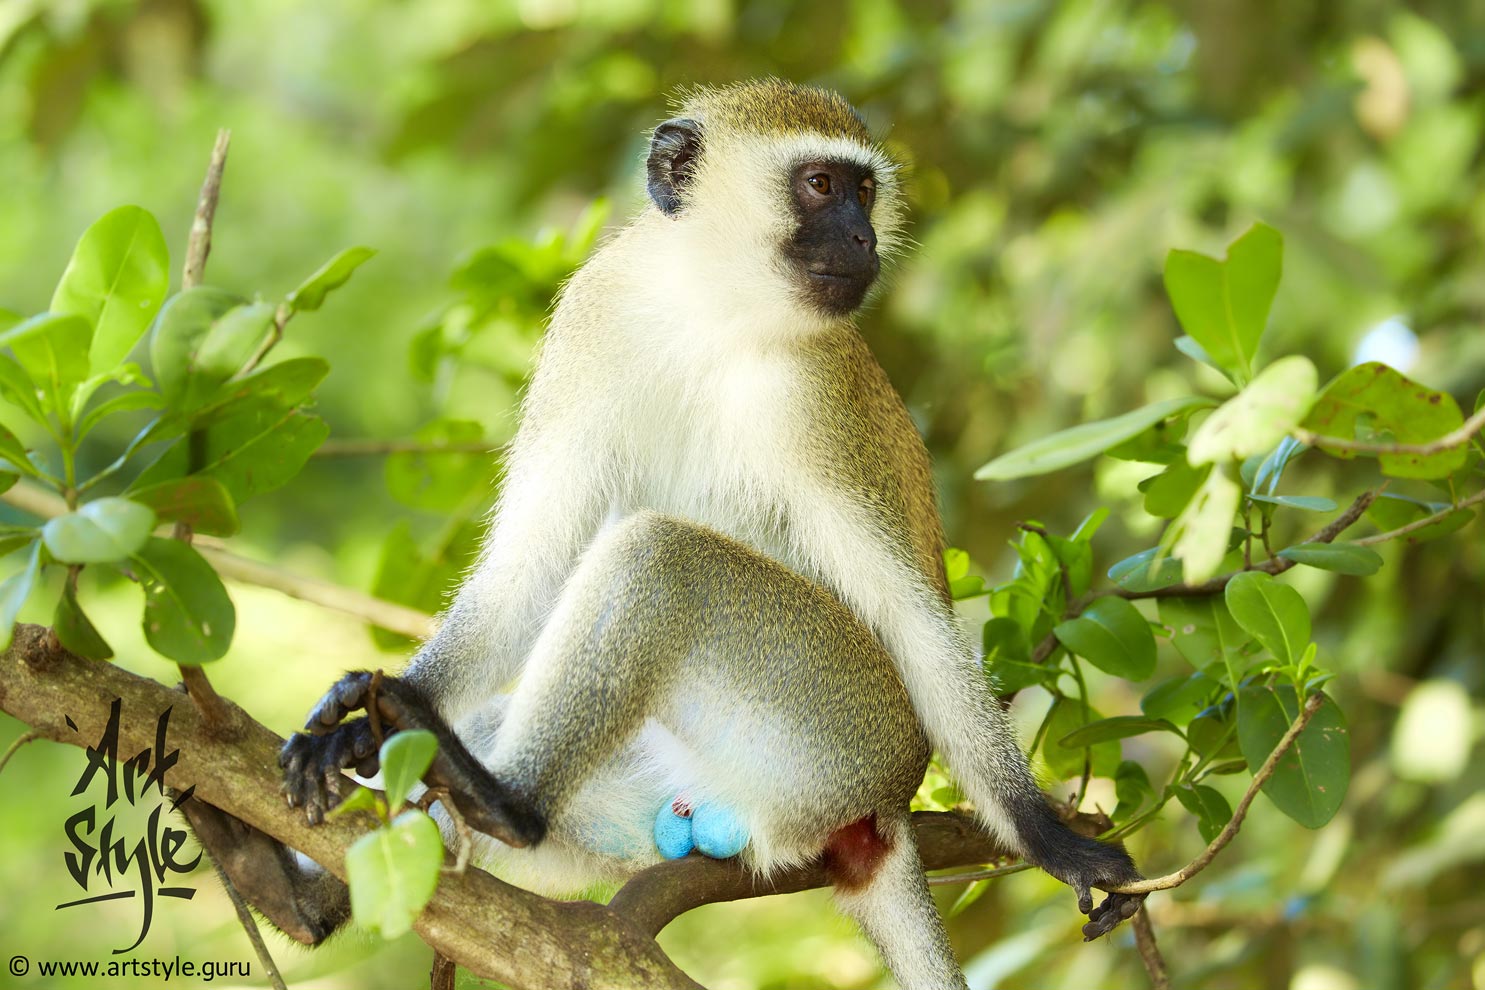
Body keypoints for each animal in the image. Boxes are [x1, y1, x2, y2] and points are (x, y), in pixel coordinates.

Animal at [190, 79, 1144, 989]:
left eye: (866, 193)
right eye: (821, 185)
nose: (864, 239)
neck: (709, 309)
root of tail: (878, 814)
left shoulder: (819, 401)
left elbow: (909, 613)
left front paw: (1048, 838)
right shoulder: (592, 316)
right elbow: (527, 567)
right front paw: (366, 718)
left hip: (837, 732)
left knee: (662, 556)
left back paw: (503, 802)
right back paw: (305, 882)